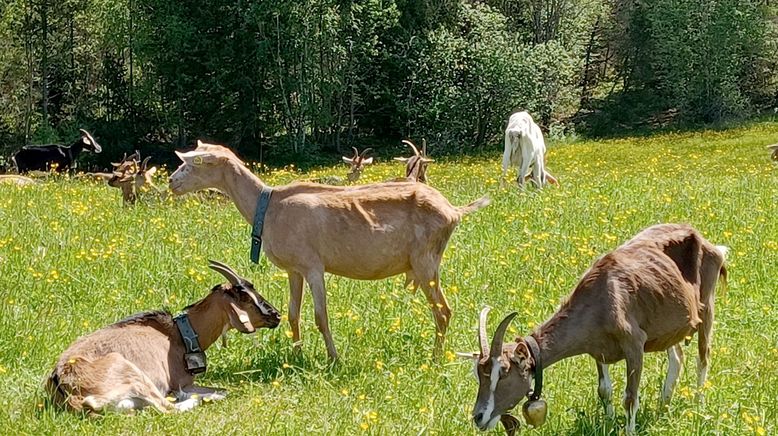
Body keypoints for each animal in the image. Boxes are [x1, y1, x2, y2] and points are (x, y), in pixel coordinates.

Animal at [46, 260, 282, 414]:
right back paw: (195, 400)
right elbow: (222, 390)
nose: (276, 315)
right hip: (132, 372)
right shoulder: (181, 382)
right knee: (167, 408)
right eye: (245, 297)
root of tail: (69, 390)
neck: (177, 334)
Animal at [168, 141, 492, 360]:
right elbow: (293, 314)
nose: (172, 181)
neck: (270, 207)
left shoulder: (313, 266)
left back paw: (435, 359)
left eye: (198, 162)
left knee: (443, 310)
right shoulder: (294, 270)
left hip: (426, 261)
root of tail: (453, 210)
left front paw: (334, 358)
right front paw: (296, 355)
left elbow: (320, 316)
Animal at [460, 225, 720, 436]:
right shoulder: (598, 350)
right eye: (477, 374)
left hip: (707, 308)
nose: (479, 417)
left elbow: (630, 397)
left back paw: (699, 406)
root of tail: (703, 239)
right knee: (677, 356)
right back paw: (663, 406)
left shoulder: (634, 344)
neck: (603, 294)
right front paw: (609, 422)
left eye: (503, 372)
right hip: (669, 328)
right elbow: (604, 390)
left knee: (703, 357)